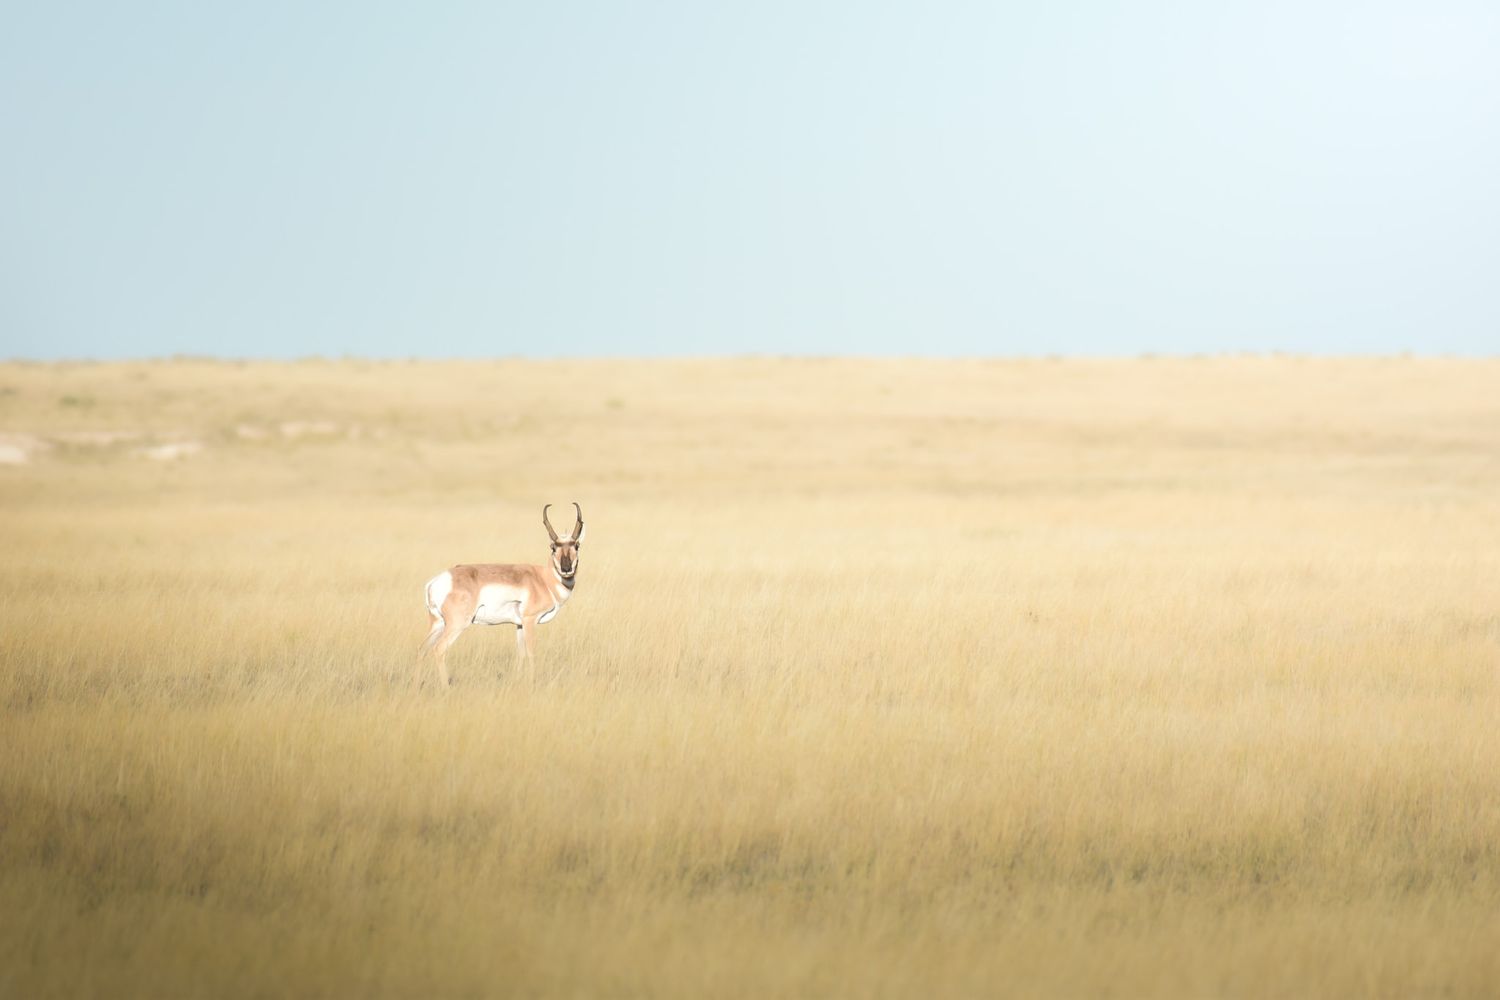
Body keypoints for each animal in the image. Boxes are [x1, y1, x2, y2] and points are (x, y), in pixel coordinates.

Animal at [415, 503, 585, 690]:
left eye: (576, 546)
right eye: (553, 547)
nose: (566, 568)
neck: (543, 579)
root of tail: (438, 580)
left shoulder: (519, 624)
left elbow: (521, 654)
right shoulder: (530, 621)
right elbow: (531, 652)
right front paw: (531, 683)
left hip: (437, 624)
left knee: (421, 650)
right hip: (457, 624)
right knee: (439, 649)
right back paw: (446, 688)